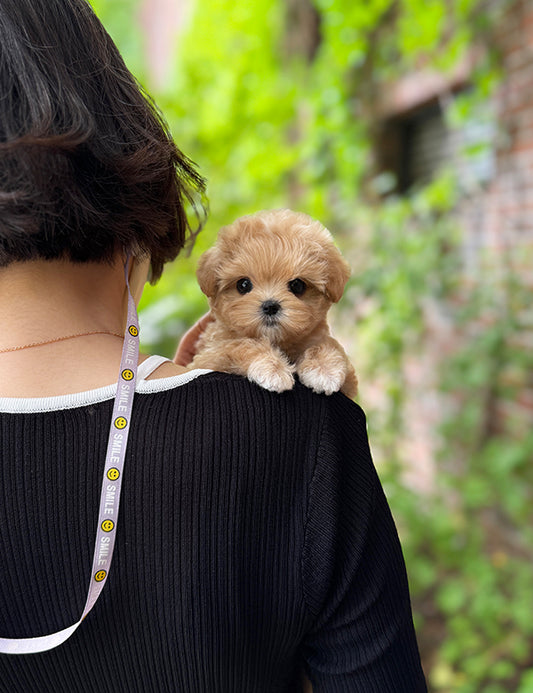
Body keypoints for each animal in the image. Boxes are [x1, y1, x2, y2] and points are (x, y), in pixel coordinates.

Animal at [187, 208, 358, 398]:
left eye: (297, 285)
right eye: (243, 285)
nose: (270, 306)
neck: (278, 341)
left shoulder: (348, 383)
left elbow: (328, 343)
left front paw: (324, 368)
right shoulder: (207, 357)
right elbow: (239, 344)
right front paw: (272, 367)